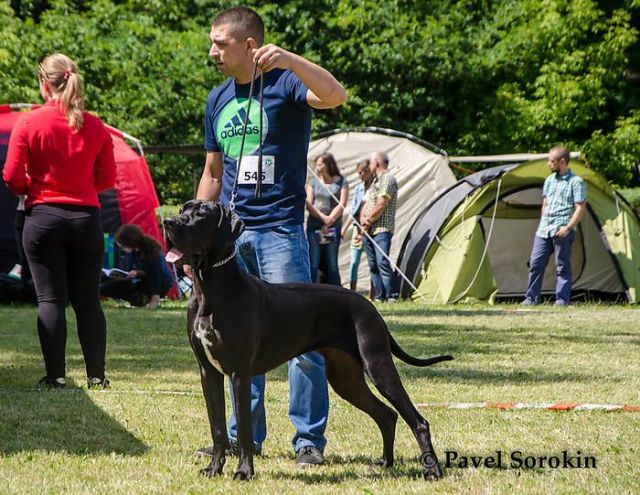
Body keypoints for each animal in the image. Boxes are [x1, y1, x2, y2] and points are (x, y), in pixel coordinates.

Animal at [164, 200, 453, 481]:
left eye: (201, 214)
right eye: (182, 209)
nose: (168, 222)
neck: (210, 289)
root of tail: (370, 306)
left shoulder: (239, 372)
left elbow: (245, 429)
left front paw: (244, 472)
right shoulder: (208, 372)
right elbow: (217, 427)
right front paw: (214, 469)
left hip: (377, 365)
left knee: (417, 420)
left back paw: (432, 470)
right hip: (346, 379)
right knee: (387, 414)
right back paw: (385, 463)